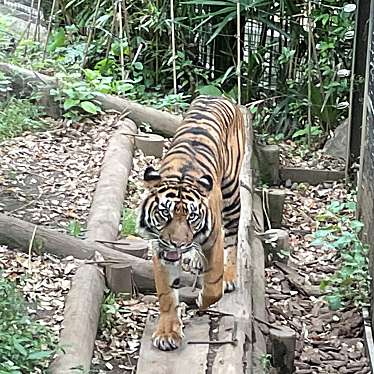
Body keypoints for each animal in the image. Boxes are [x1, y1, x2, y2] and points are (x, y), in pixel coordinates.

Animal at [137, 94, 245, 350]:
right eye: (164, 214)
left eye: (192, 217)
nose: (177, 244)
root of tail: (218, 96)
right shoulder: (159, 248)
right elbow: (166, 294)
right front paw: (167, 333)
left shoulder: (214, 240)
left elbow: (213, 287)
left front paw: (202, 300)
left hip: (231, 193)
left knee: (233, 238)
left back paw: (229, 276)